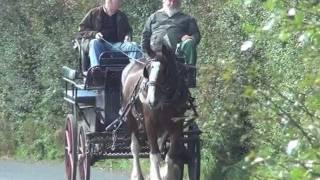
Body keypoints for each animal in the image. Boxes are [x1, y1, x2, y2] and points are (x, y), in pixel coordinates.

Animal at [121, 42, 189, 180]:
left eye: (164, 70)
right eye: (147, 70)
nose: (152, 101)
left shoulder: (177, 125)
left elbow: (170, 156)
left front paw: (166, 175)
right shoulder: (150, 124)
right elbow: (154, 156)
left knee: (159, 143)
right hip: (131, 119)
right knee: (135, 147)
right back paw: (137, 174)